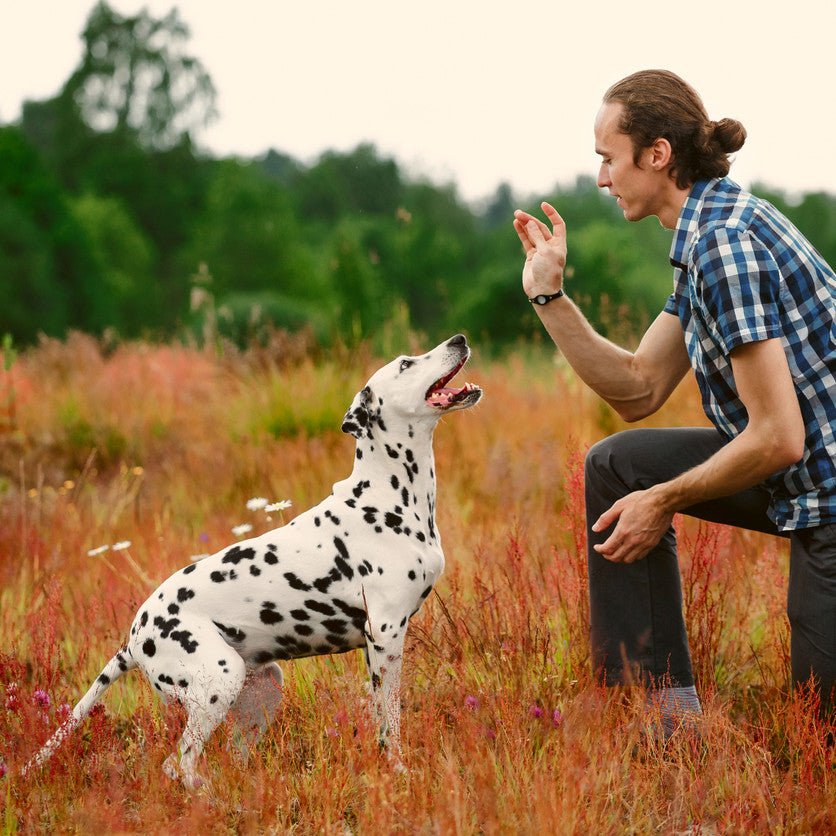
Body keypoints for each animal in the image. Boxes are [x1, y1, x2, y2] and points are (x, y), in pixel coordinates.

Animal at [22, 334, 484, 792]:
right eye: (406, 363)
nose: (459, 338)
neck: (388, 495)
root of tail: (134, 638)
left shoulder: (377, 647)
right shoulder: (386, 636)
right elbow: (391, 722)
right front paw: (398, 771)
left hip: (261, 691)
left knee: (227, 758)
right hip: (218, 683)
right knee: (179, 764)